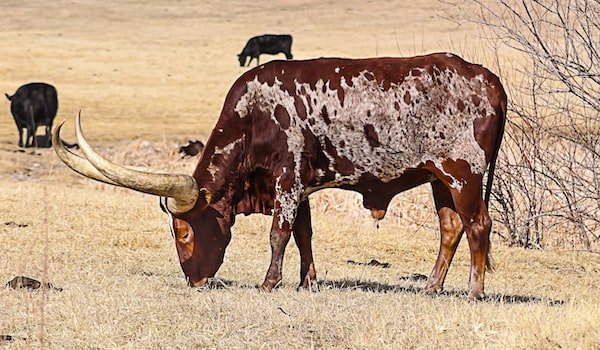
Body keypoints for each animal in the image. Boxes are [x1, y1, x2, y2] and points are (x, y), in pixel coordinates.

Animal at [55, 52, 506, 300]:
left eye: (182, 232)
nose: (194, 281)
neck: (254, 114)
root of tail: (487, 79)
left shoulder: (287, 181)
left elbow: (279, 234)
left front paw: (269, 283)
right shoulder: (301, 188)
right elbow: (304, 234)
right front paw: (307, 282)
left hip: (463, 175)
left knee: (477, 225)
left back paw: (474, 291)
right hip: (439, 179)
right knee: (451, 228)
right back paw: (431, 287)